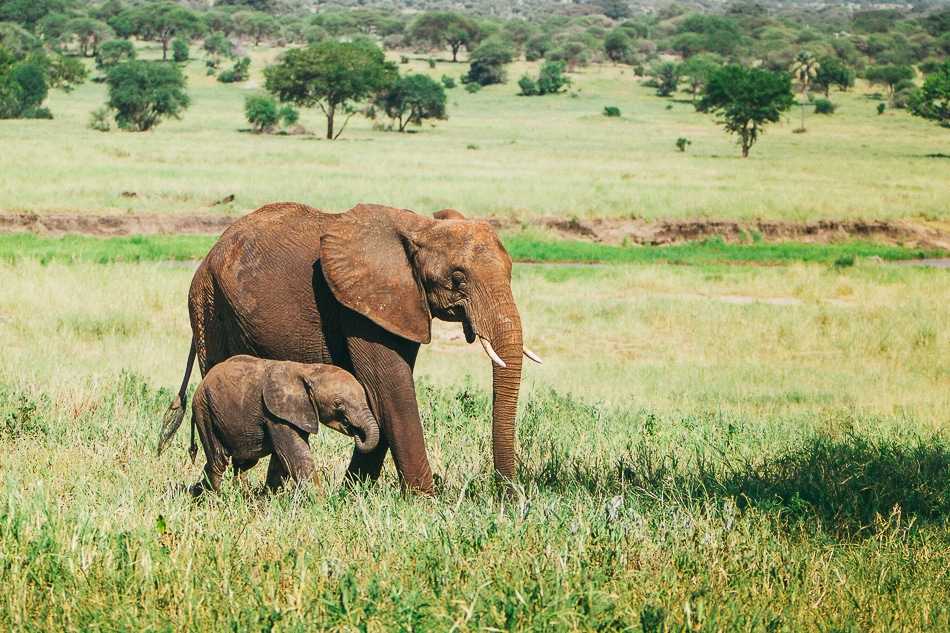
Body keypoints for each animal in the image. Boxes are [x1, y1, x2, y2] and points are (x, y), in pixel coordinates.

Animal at [158, 356, 378, 494]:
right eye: (338, 403)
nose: (355, 431)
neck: (307, 370)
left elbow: (280, 462)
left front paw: (264, 502)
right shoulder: (275, 414)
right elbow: (296, 456)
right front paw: (320, 503)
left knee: (242, 462)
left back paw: (202, 494)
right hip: (205, 411)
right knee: (218, 460)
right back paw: (218, 500)